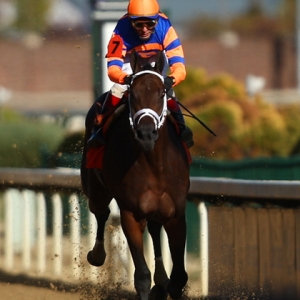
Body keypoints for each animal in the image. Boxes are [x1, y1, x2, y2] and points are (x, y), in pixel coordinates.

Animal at [80, 50, 190, 298]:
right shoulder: (131, 213)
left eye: (162, 93)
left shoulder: (176, 214)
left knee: (155, 228)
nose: (146, 134)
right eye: (133, 94)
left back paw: (162, 278)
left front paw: (167, 284)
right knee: (101, 213)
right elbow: (141, 276)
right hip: (95, 189)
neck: (155, 164)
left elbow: (179, 277)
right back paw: (97, 254)